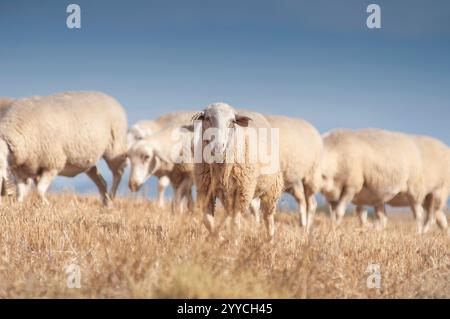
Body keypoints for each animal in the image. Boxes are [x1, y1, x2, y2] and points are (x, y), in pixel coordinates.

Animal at [0, 91, 128, 206]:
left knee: (118, 174)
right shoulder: (22, 172)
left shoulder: (52, 164)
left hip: (115, 148)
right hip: (88, 162)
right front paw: (18, 207)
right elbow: (21, 193)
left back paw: (111, 198)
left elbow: (40, 189)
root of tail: (110, 97)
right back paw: (105, 202)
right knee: (101, 180)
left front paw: (47, 205)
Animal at [191, 102, 284, 242]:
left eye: (231, 122)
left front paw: (233, 244)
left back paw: (270, 241)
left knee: (268, 218)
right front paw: (219, 238)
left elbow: (235, 224)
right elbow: (207, 221)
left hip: (272, 188)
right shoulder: (205, 190)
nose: (218, 147)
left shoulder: (242, 192)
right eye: (207, 119)